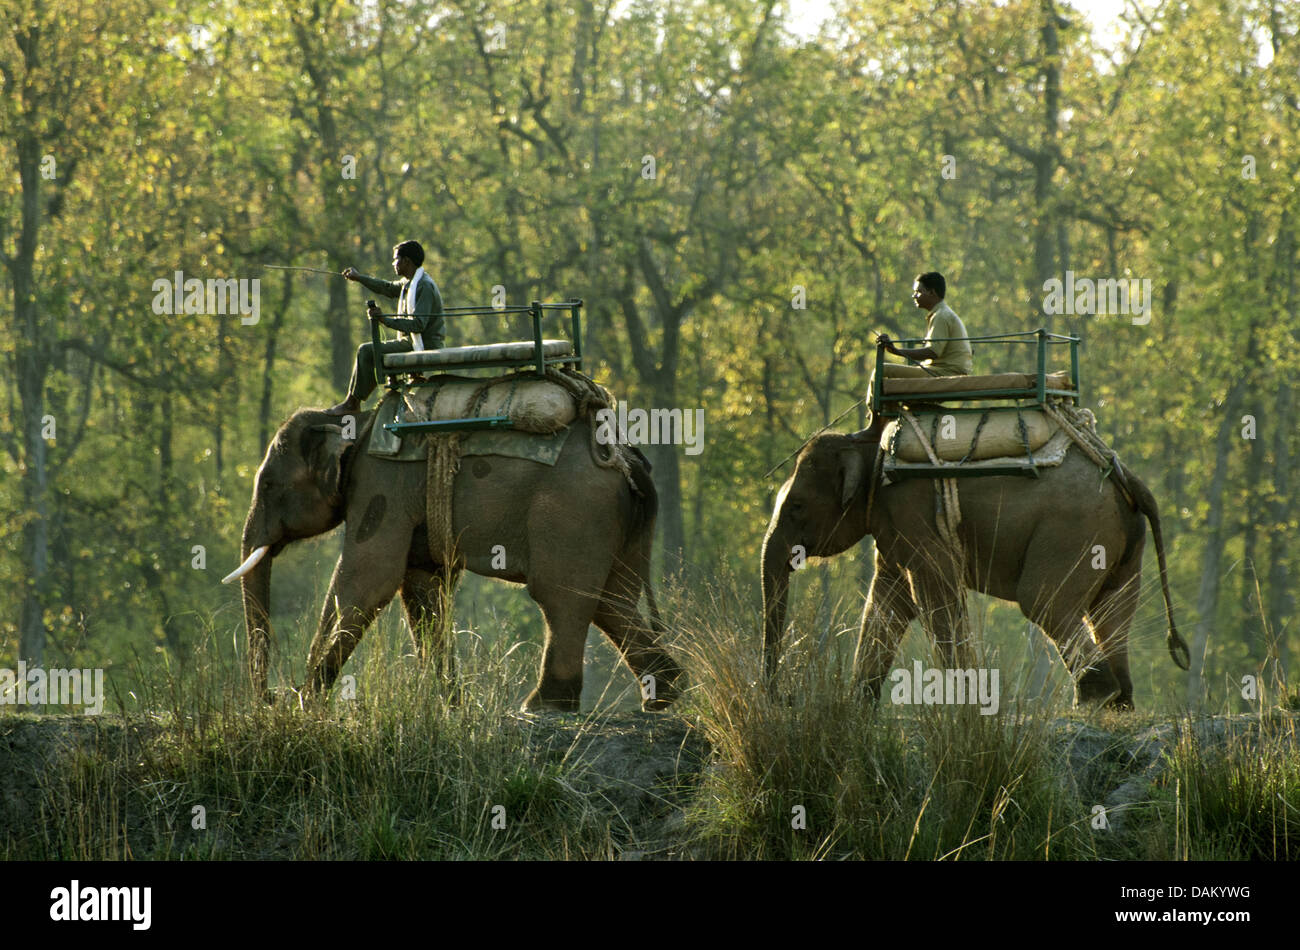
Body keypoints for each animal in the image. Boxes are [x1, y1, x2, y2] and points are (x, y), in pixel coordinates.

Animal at [224, 408, 686, 712]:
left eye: (269, 484)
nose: (272, 697)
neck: (347, 417)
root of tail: (629, 461)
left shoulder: (381, 486)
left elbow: (367, 579)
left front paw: (307, 700)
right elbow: (419, 587)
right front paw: (453, 703)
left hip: (573, 513)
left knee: (562, 597)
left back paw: (542, 705)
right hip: (619, 523)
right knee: (612, 598)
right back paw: (664, 695)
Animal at [759, 428, 1190, 706]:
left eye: (796, 505)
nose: (783, 697)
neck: (870, 445)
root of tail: (1125, 476)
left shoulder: (912, 512)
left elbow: (935, 592)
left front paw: (964, 705)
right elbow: (888, 601)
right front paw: (857, 708)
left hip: (1075, 532)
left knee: (1044, 602)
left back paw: (1094, 700)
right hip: (1124, 543)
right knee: (1110, 613)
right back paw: (1118, 703)